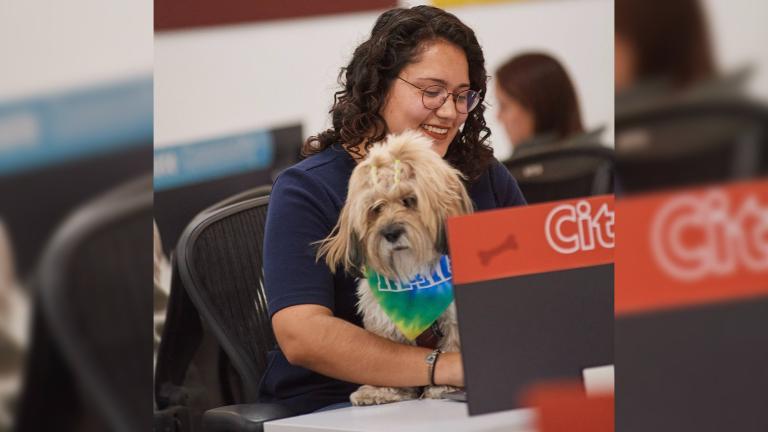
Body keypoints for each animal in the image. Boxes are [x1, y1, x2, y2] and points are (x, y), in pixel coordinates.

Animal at [316, 131, 474, 404]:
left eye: (410, 201)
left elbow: (453, 346)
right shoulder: (383, 319)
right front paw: (383, 390)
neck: (413, 273)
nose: (390, 232)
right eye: (376, 208)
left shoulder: (454, 319)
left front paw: (445, 386)